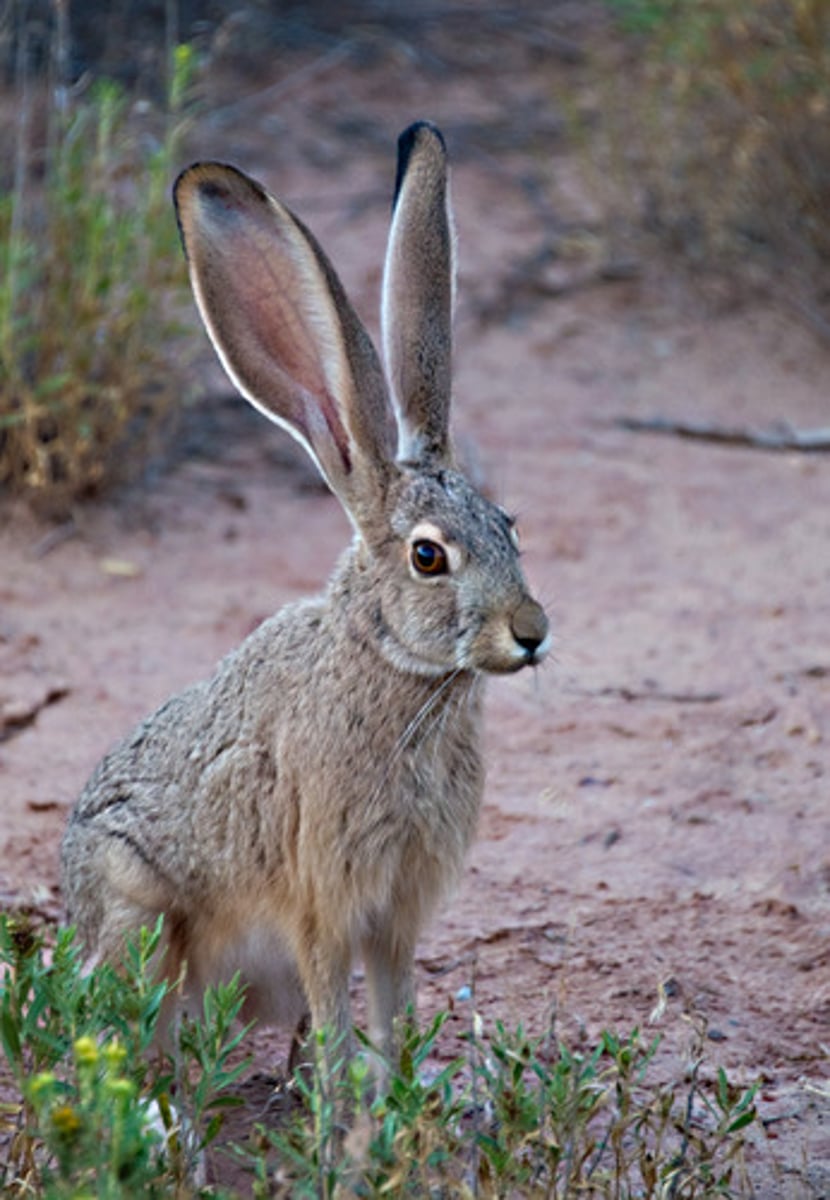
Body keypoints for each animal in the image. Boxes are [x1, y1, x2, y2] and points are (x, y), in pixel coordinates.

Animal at [60, 121, 550, 1076]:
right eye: (428, 557)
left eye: (510, 524)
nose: (533, 632)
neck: (396, 670)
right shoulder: (321, 899)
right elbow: (335, 1011)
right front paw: (348, 1111)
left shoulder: (396, 913)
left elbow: (395, 1009)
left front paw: (399, 1096)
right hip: (140, 915)